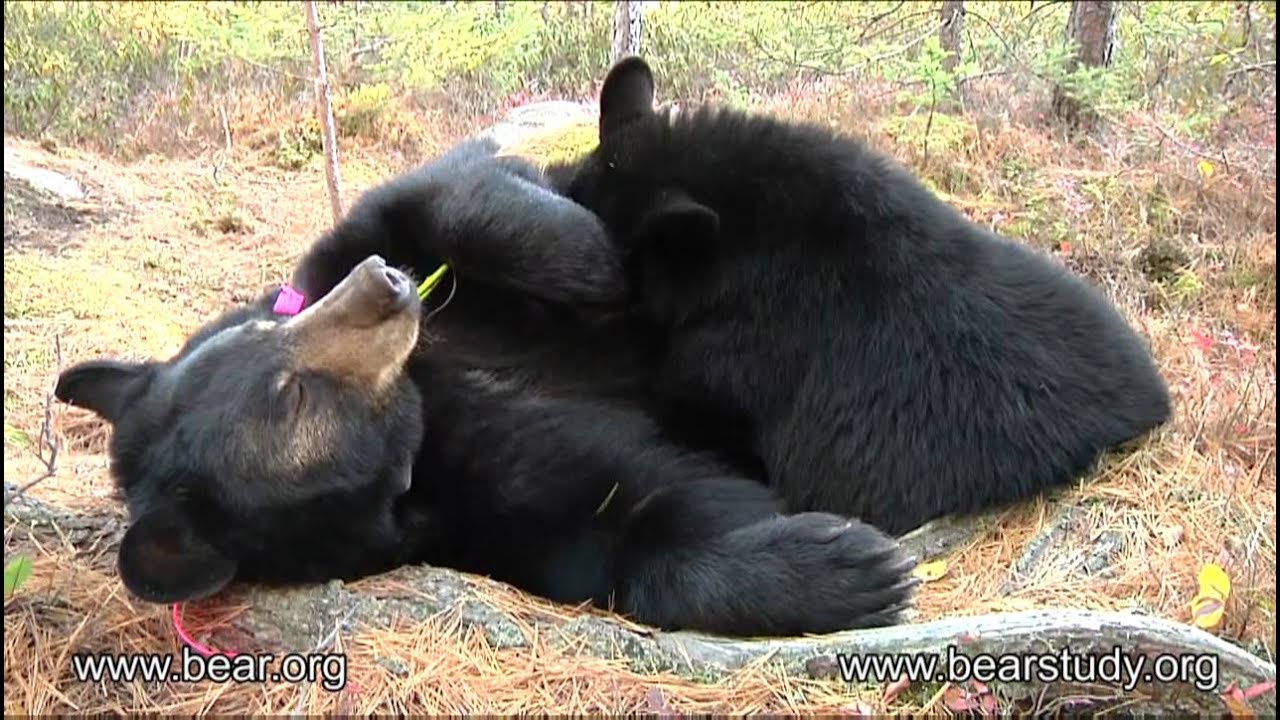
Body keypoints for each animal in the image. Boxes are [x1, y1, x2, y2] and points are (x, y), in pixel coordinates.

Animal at [54, 138, 918, 638]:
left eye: (267, 332)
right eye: (290, 396)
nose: (384, 286)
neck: (419, 413)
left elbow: (441, 198)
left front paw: (592, 255)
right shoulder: (480, 517)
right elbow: (624, 529)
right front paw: (851, 566)